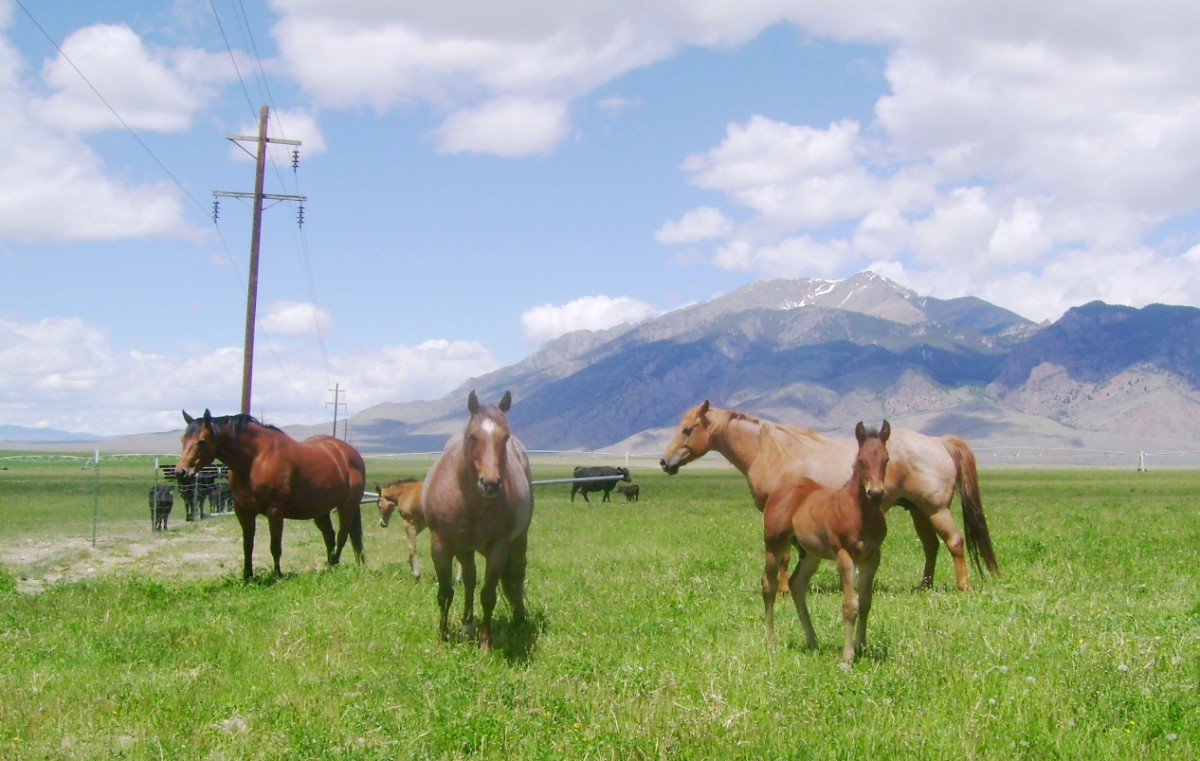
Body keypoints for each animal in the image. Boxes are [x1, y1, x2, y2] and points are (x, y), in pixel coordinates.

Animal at [175, 412, 364, 578]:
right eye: (183, 440)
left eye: (201, 441)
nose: (181, 472)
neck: (255, 459)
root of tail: (350, 454)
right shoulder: (243, 511)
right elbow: (247, 545)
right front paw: (247, 576)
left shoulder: (275, 512)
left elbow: (275, 547)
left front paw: (277, 575)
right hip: (320, 510)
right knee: (330, 536)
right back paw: (330, 565)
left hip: (347, 507)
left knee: (342, 535)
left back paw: (335, 563)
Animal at [422, 388, 535, 648]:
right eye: (472, 436)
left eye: (505, 437)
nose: (490, 483)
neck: (469, 499)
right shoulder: (441, 544)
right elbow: (445, 593)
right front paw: (443, 638)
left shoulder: (498, 549)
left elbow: (488, 595)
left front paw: (486, 642)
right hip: (464, 548)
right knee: (470, 577)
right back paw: (467, 621)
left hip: (519, 539)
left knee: (516, 575)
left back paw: (517, 620)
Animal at [662, 400, 998, 590]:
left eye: (688, 429)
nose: (665, 462)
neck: (771, 452)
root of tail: (939, 441)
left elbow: (783, 555)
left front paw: (782, 590)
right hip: (917, 509)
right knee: (931, 547)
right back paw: (924, 586)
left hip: (936, 508)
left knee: (955, 542)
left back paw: (963, 587)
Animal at [758, 417, 892, 662]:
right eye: (861, 460)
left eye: (886, 459)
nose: (876, 493)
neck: (860, 513)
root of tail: (780, 490)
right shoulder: (844, 555)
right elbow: (850, 604)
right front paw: (847, 657)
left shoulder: (872, 557)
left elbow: (865, 602)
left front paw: (862, 646)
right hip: (774, 545)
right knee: (769, 585)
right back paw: (770, 640)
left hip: (810, 553)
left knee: (797, 584)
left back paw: (813, 641)